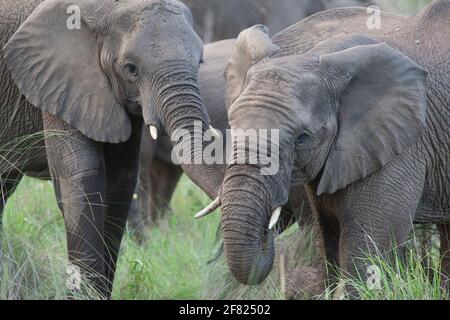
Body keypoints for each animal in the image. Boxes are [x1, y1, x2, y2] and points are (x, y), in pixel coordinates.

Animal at [197, 0, 450, 296]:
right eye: (232, 125)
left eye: (302, 138)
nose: (267, 228)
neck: (324, 56)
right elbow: (327, 241)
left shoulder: (398, 147)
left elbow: (366, 256)